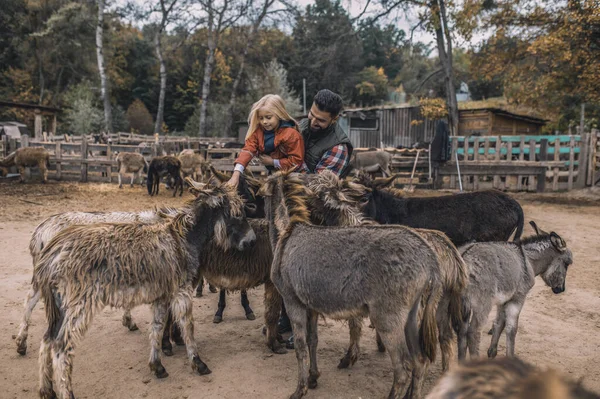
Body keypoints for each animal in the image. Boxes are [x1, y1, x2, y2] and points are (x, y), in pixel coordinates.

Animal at [35, 184, 255, 399]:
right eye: (237, 214)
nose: (252, 241)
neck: (183, 238)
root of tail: (52, 251)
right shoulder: (182, 291)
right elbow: (187, 325)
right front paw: (197, 362)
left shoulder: (162, 296)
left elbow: (157, 328)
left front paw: (157, 366)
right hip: (80, 305)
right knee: (61, 347)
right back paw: (67, 393)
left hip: (59, 306)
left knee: (47, 339)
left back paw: (47, 390)